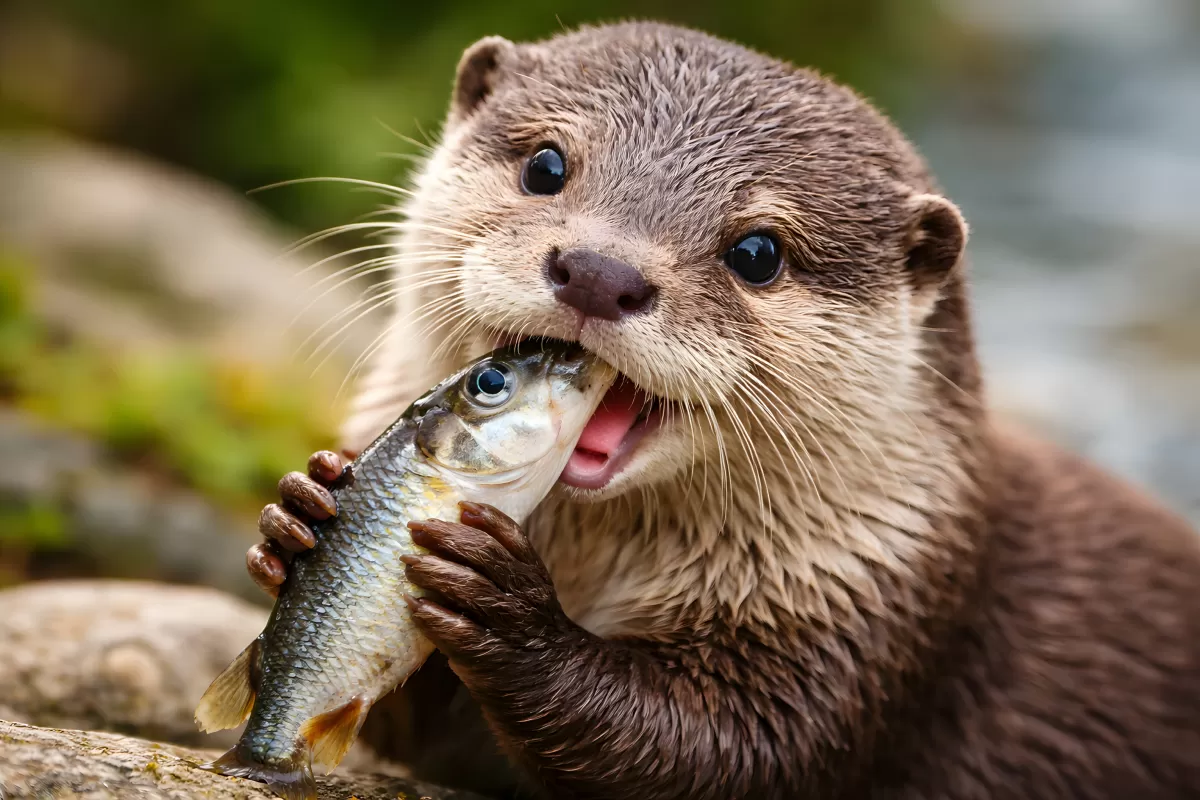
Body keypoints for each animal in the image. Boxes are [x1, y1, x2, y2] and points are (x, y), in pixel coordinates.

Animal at [247, 22, 1200, 800]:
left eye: (758, 251)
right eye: (546, 166)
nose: (600, 272)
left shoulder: (861, 614)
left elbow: (729, 751)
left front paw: (512, 615)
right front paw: (299, 516)